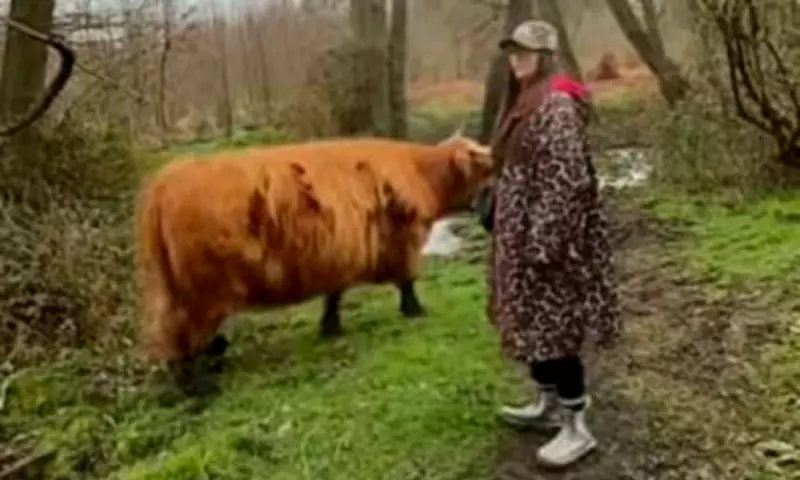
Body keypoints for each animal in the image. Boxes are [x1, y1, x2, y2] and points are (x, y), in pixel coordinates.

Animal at [135, 131, 493, 396]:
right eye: (485, 171)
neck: (420, 172)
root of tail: (165, 182)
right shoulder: (403, 241)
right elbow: (407, 280)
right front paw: (415, 311)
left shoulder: (341, 253)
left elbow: (335, 294)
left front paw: (330, 327)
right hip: (202, 291)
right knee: (183, 335)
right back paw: (198, 387)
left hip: (174, 289)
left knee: (169, 332)